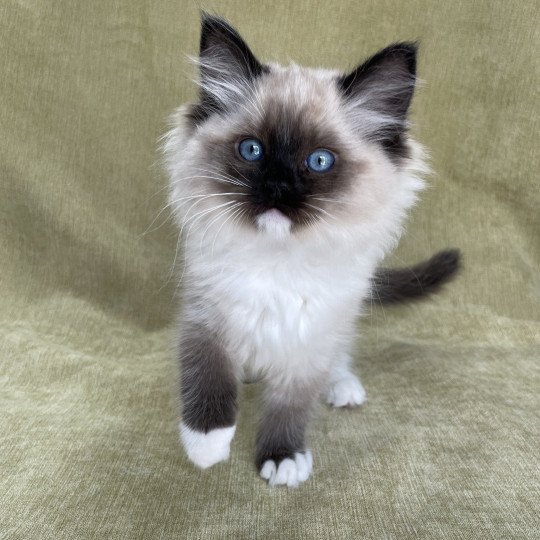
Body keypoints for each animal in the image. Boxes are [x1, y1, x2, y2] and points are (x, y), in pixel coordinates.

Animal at [163, 14, 460, 488]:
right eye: (252, 150)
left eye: (319, 161)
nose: (278, 187)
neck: (278, 261)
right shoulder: (206, 316)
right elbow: (206, 376)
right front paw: (206, 446)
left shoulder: (310, 338)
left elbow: (291, 406)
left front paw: (282, 458)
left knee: (338, 357)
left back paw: (343, 388)